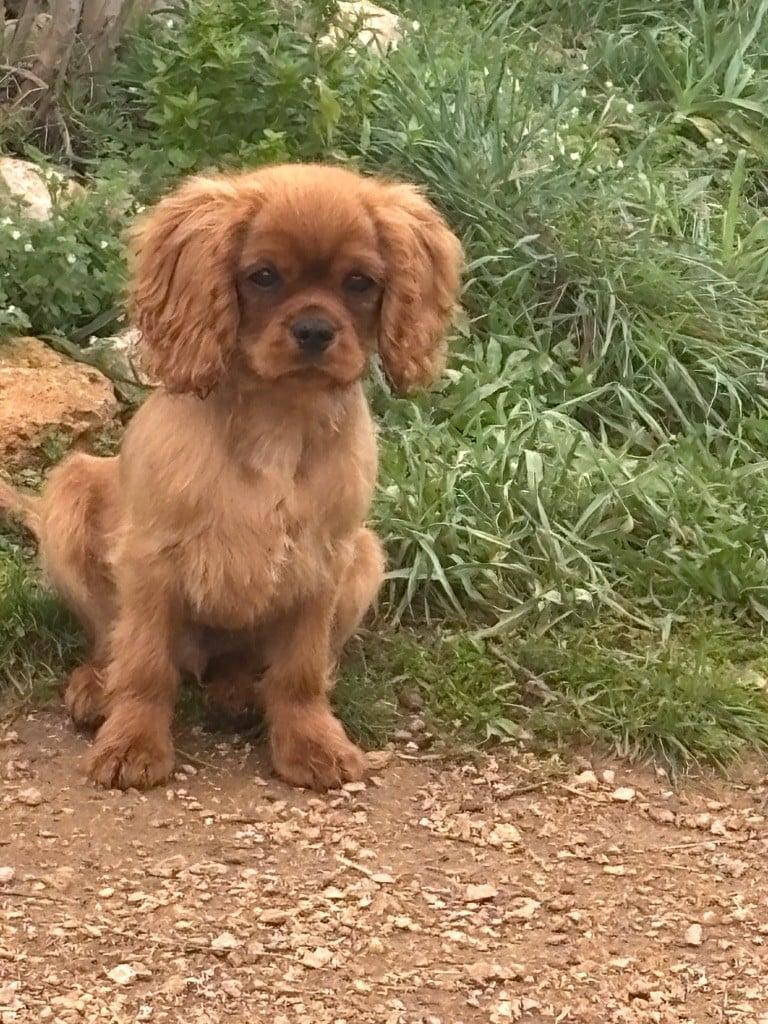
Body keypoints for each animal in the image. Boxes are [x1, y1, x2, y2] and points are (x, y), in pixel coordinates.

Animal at [0, 163, 462, 790]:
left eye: (360, 283)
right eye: (263, 277)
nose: (314, 330)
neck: (278, 415)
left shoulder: (323, 565)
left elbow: (300, 673)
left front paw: (311, 743)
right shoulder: (150, 561)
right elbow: (144, 663)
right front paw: (131, 745)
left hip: (366, 557)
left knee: (247, 663)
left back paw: (239, 691)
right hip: (71, 494)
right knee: (111, 641)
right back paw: (97, 687)